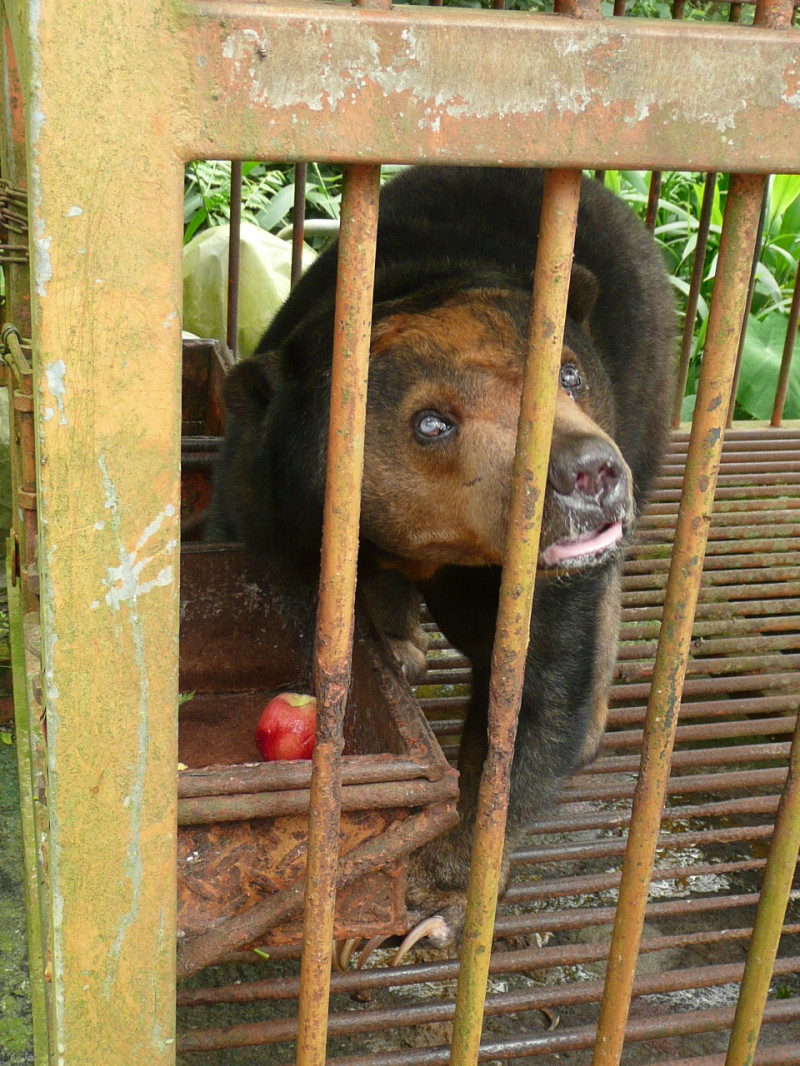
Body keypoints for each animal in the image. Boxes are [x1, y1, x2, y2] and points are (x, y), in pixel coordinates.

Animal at [208, 164, 678, 950]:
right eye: (431, 423)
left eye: (570, 376)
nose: (589, 471)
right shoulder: (268, 493)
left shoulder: (549, 578)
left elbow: (534, 700)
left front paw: (436, 898)